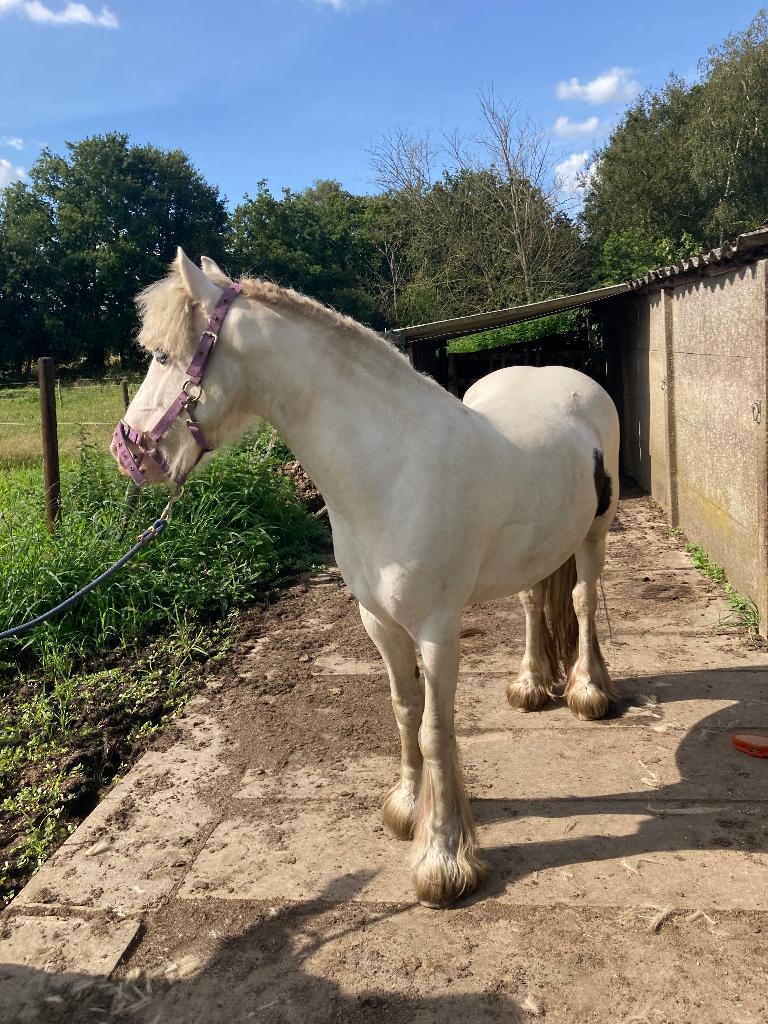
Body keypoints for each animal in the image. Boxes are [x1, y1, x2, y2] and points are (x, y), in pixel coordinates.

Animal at [111, 248, 620, 909]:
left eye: (164, 355)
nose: (128, 451)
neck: (391, 470)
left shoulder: (436, 631)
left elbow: (436, 732)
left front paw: (443, 860)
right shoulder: (378, 620)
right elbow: (404, 711)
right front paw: (406, 810)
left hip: (593, 535)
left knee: (582, 602)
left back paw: (588, 691)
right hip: (540, 548)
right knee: (536, 604)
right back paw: (532, 685)